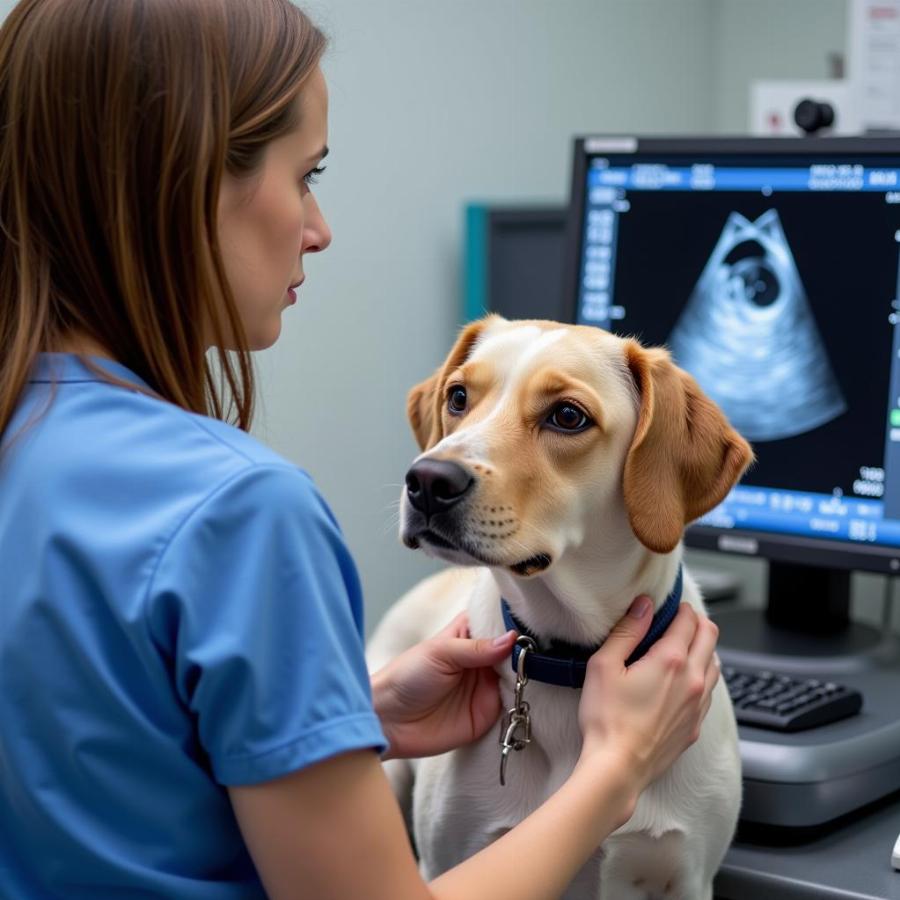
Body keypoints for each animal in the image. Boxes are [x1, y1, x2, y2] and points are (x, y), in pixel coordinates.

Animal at [366, 316, 752, 900]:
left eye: (567, 416)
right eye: (458, 397)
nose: (427, 480)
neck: (569, 653)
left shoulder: (688, 877)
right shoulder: (443, 863)